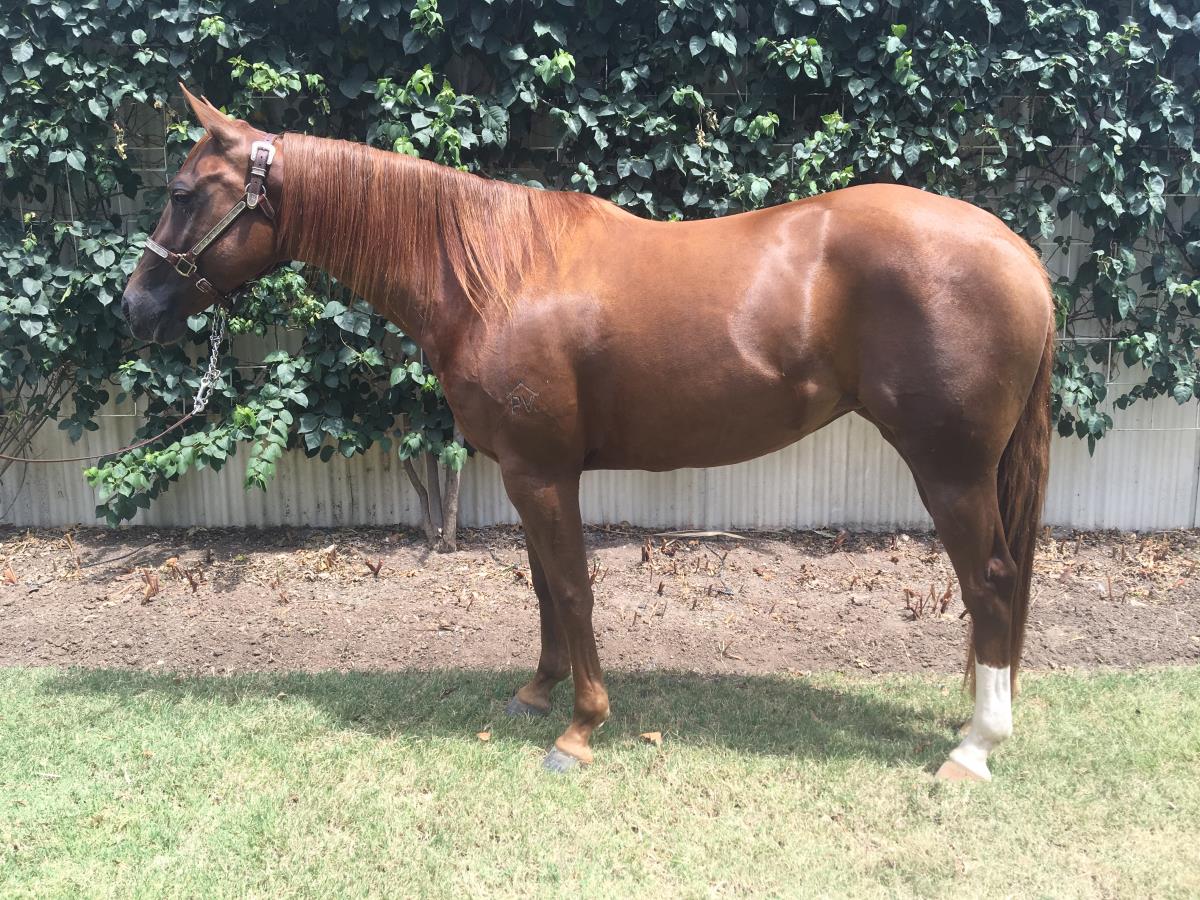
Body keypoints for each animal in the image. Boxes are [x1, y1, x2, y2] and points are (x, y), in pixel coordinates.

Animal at [121, 88, 1054, 781]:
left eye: (179, 192)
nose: (135, 306)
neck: (495, 276)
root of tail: (1018, 255)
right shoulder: (526, 469)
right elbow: (541, 587)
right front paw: (537, 692)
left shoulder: (541, 472)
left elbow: (572, 590)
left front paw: (579, 729)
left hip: (951, 469)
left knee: (992, 582)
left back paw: (974, 748)